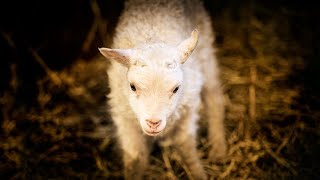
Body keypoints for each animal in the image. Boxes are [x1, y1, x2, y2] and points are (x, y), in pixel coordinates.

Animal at [99, 0, 226, 179]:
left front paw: (197, 172)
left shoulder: (187, 110)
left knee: (214, 96)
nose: (153, 123)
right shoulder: (125, 118)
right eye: (132, 86)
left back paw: (218, 149)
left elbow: (186, 146)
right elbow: (135, 158)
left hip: (205, 49)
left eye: (176, 88)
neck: (155, 33)